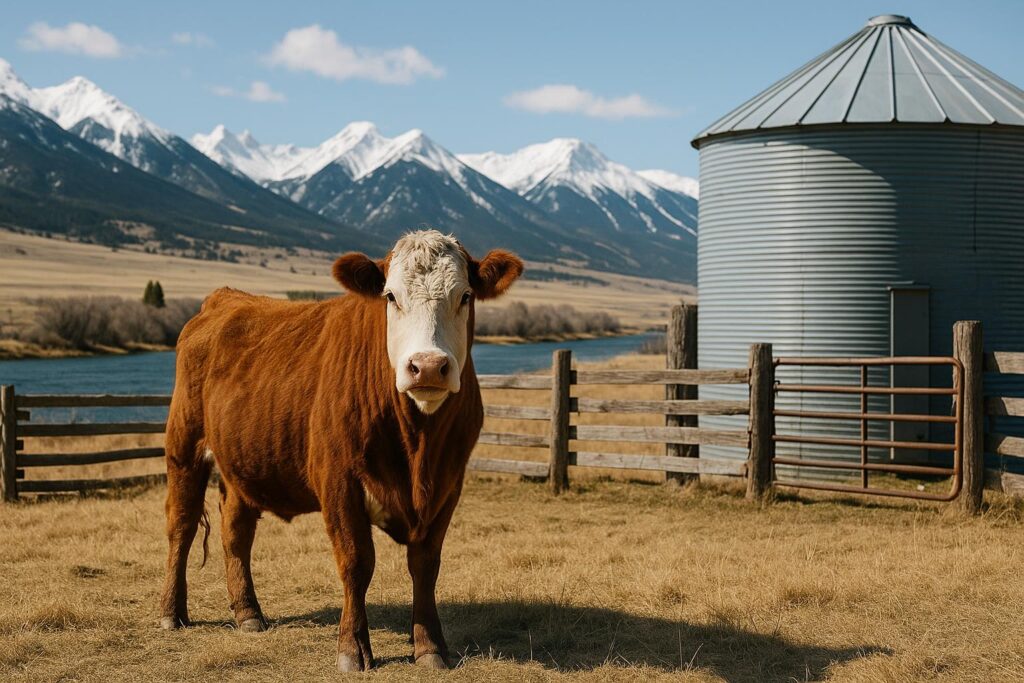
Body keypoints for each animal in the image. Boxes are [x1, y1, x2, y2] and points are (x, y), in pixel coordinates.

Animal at [157, 230, 523, 671]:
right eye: (390, 296)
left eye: (465, 295)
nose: (428, 366)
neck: (418, 448)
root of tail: (225, 298)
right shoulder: (339, 482)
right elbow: (356, 562)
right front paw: (352, 648)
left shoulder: (448, 485)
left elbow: (425, 565)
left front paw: (430, 647)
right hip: (184, 448)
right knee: (181, 525)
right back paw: (171, 612)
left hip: (241, 464)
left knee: (236, 533)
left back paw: (248, 613)